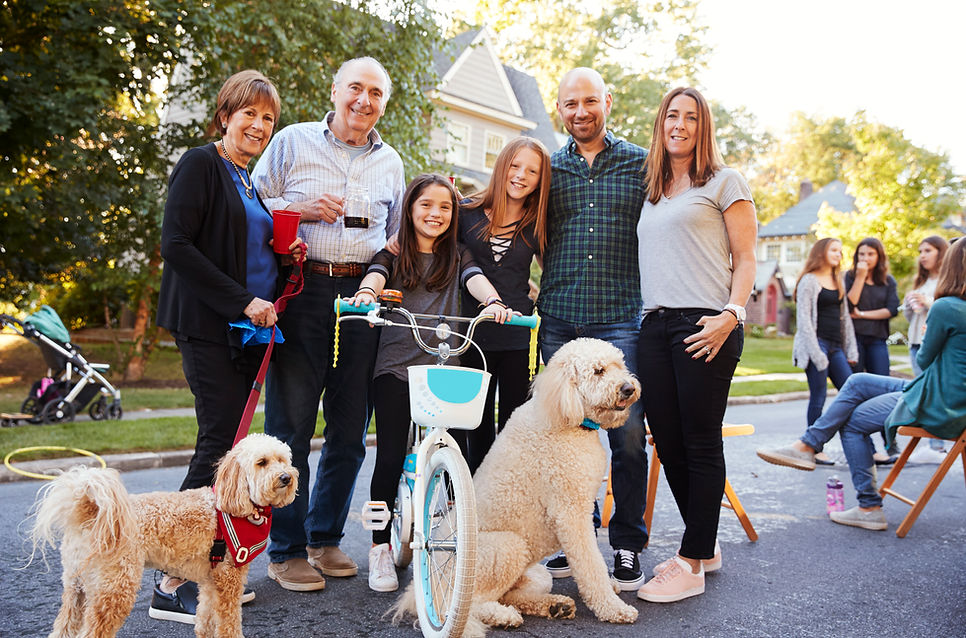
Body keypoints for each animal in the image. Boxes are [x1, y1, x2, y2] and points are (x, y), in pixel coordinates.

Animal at [28, 432, 296, 636]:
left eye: (283, 460)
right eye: (262, 462)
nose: (286, 477)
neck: (237, 508)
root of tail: (92, 512)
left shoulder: (211, 579)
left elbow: (206, 617)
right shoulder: (228, 577)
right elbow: (228, 623)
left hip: (76, 589)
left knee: (63, 628)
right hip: (115, 588)